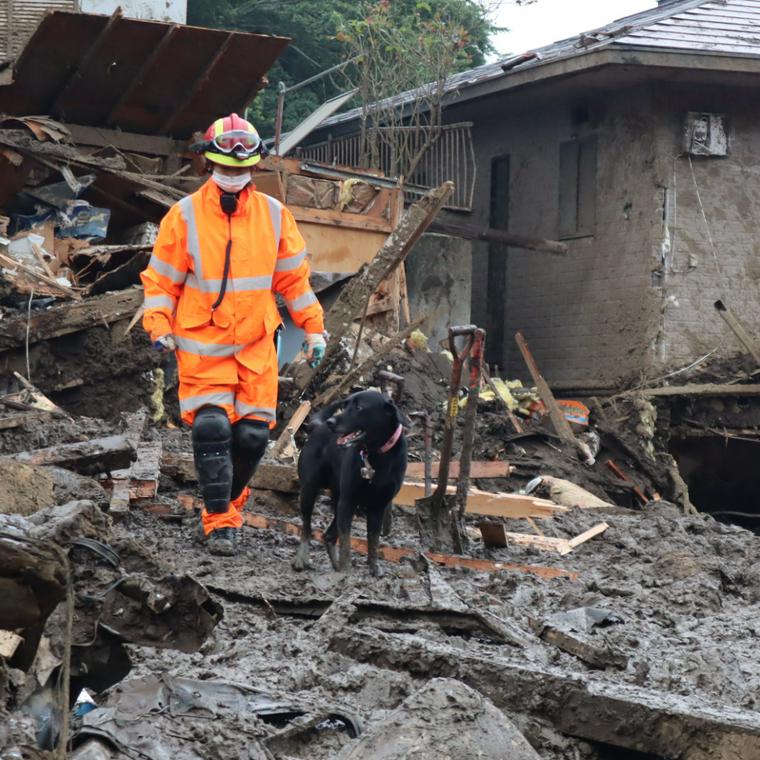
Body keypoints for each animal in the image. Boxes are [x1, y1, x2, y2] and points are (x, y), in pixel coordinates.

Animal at [292, 392, 410, 576]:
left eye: (359, 407)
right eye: (345, 405)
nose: (331, 422)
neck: (377, 454)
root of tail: (318, 427)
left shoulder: (378, 506)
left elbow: (373, 539)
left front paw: (374, 567)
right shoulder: (348, 501)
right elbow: (346, 541)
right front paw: (347, 569)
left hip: (339, 499)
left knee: (329, 536)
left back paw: (336, 566)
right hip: (310, 490)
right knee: (306, 526)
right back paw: (302, 558)